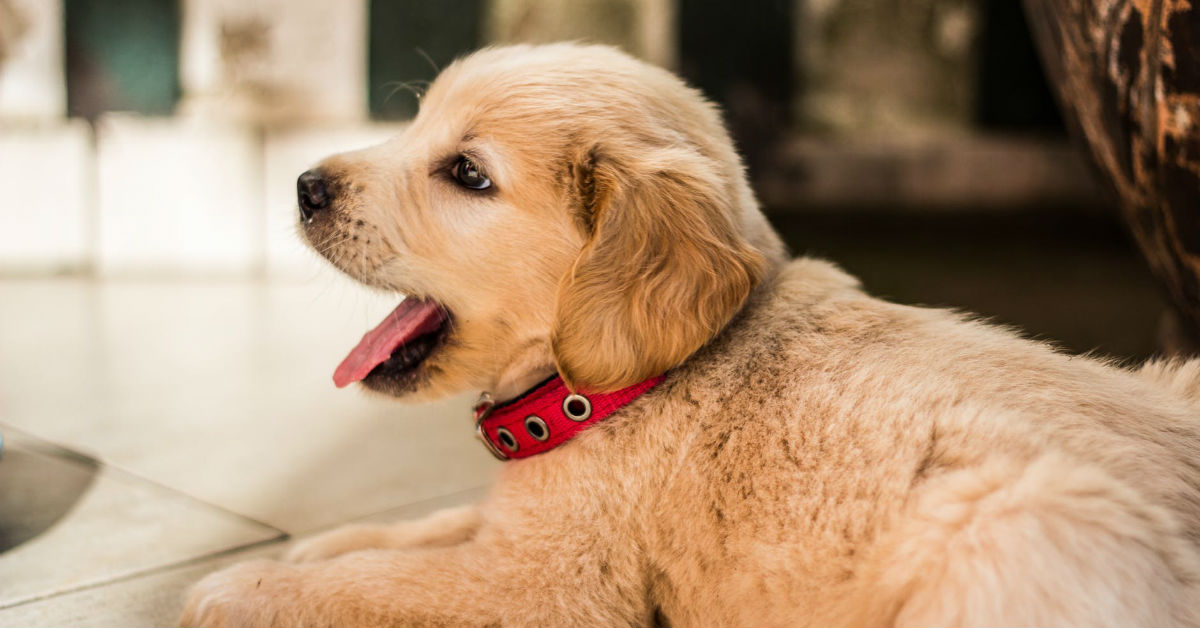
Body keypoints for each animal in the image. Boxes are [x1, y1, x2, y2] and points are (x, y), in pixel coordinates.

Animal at [180, 42, 1200, 624]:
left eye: (467, 174)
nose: (305, 185)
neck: (614, 389)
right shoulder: (522, 529)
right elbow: (422, 529)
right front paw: (322, 544)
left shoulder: (547, 586)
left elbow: (375, 587)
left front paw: (239, 590)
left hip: (1018, 517)